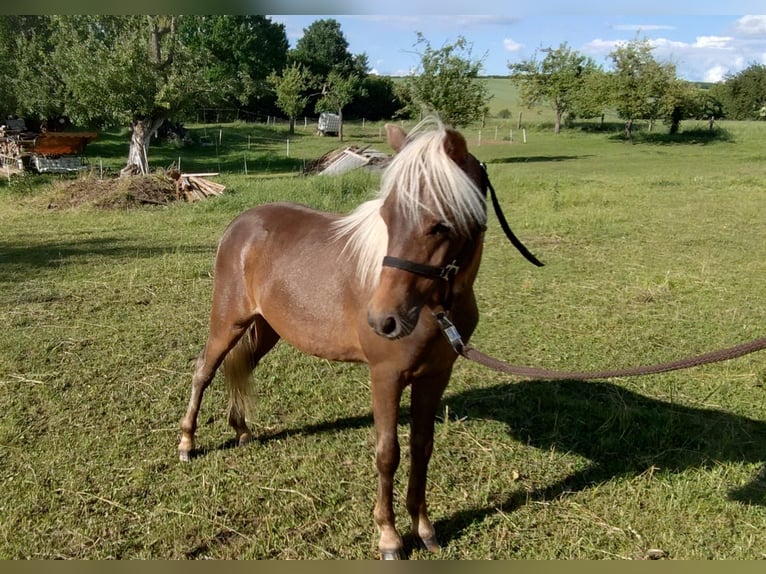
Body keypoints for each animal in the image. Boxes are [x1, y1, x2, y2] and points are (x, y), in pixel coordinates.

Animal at [178, 117, 499, 559]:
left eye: (441, 224)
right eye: (387, 216)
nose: (384, 320)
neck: (434, 307)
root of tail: (240, 224)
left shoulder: (435, 377)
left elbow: (422, 447)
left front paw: (424, 528)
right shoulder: (386, 377)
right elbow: (388, 453)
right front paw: (389, 537)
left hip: (265, 331)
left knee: (239, 369)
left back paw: (241, 430)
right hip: (228, 322)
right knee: (203, 372)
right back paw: (187, 443)